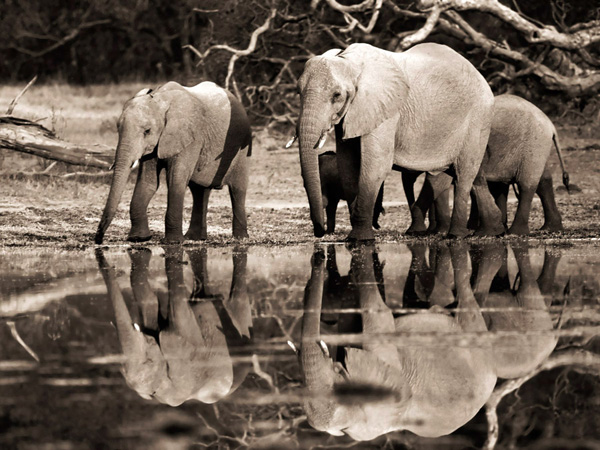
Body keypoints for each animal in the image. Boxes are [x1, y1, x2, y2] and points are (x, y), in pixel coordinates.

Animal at [93, 80, 251, 243]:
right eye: (118, 129)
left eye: (147, 131)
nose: (98, 238)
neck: (160, 99)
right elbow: (147, 182)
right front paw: (139, 238)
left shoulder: (191, 136)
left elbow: (176, 180)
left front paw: (173, 242)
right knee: (199, 191)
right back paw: (194, 238)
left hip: (242, 148)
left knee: (238, 189)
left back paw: (240, 239)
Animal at [296, 41, 502, 243]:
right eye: (299, 92)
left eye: (337, 95)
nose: (320, 232)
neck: (349, 61)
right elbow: (347, 165)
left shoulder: (386, 110)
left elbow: (377, 164)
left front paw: (360, 239)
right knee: (474, 175)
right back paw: (492, 232)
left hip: (478, 118)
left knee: (464, 173)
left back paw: (456, 235)